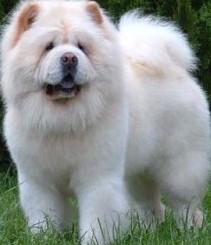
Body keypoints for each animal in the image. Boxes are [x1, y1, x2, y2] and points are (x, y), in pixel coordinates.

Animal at [0, 0, 210, 244]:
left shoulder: (97, 179)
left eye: (82, 47)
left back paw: (189, 233)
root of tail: (178, 70)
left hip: (180, 168)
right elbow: (44, 216)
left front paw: (93, 240)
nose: (69, 58)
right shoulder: (39, 182)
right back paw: (149, 232)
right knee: (151, 206)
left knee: (187, 207)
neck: (63, 118)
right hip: (137, 174)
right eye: (49, 47)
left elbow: (97, 218)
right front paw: (45, 238)